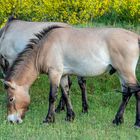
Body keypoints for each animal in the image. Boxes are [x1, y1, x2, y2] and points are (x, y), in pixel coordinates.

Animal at [3, 25, 140, 128]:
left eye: (11, 99)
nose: (11, 120)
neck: (44, 48)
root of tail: (135, 37)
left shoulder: (54, 73)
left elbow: (52, 96)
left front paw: (49, 119)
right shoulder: (63, 75)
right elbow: (65, 93)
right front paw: (70, 116)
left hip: (126, 72)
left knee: (136, 92)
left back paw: (136, 123)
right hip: (121, 73)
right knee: (126, 94)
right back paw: (117, 120)